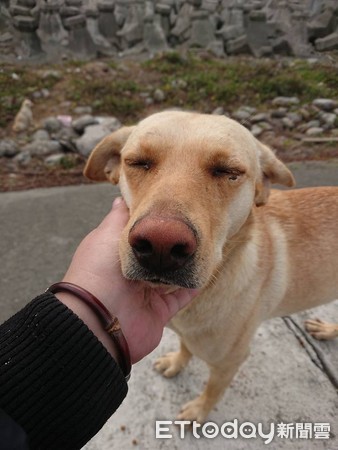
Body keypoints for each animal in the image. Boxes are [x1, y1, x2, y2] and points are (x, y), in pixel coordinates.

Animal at [84, 110, 338, 424]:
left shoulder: (230, 361)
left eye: (228, 171)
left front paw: (199, 410)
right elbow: (185, 346)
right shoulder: (187, 334)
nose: (160, 244)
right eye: (138, 162)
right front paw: (177, 362)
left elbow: (213, 390)